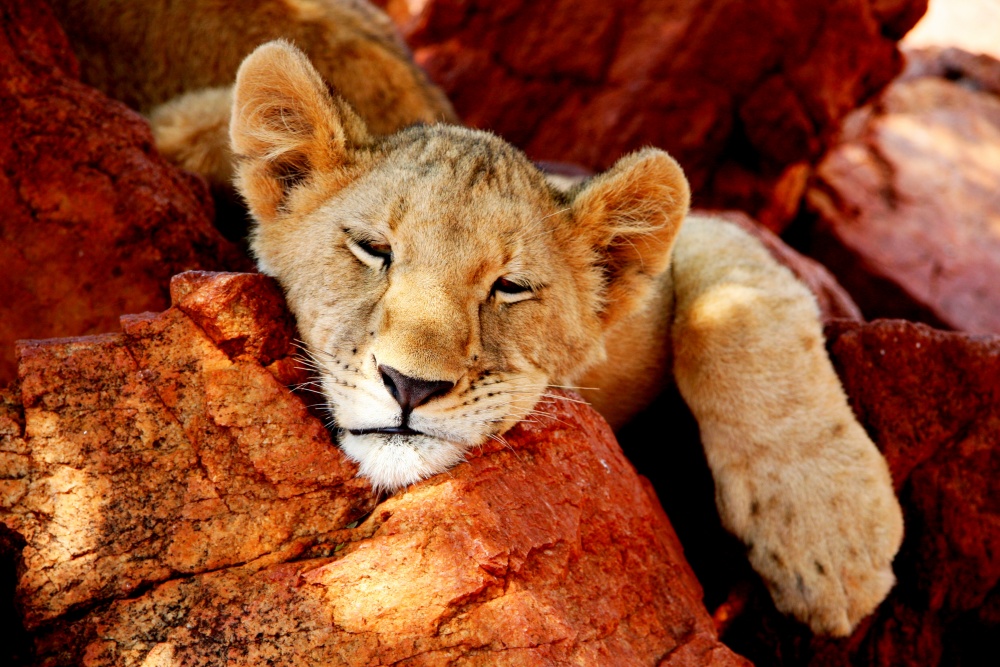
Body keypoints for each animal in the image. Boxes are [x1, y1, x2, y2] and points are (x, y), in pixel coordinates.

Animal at [228, 40, 904, 638]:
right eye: (374, 250)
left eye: (511, 287)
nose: (410, 387)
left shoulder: (699, 255)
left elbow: (738, 308)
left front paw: (830, 538)